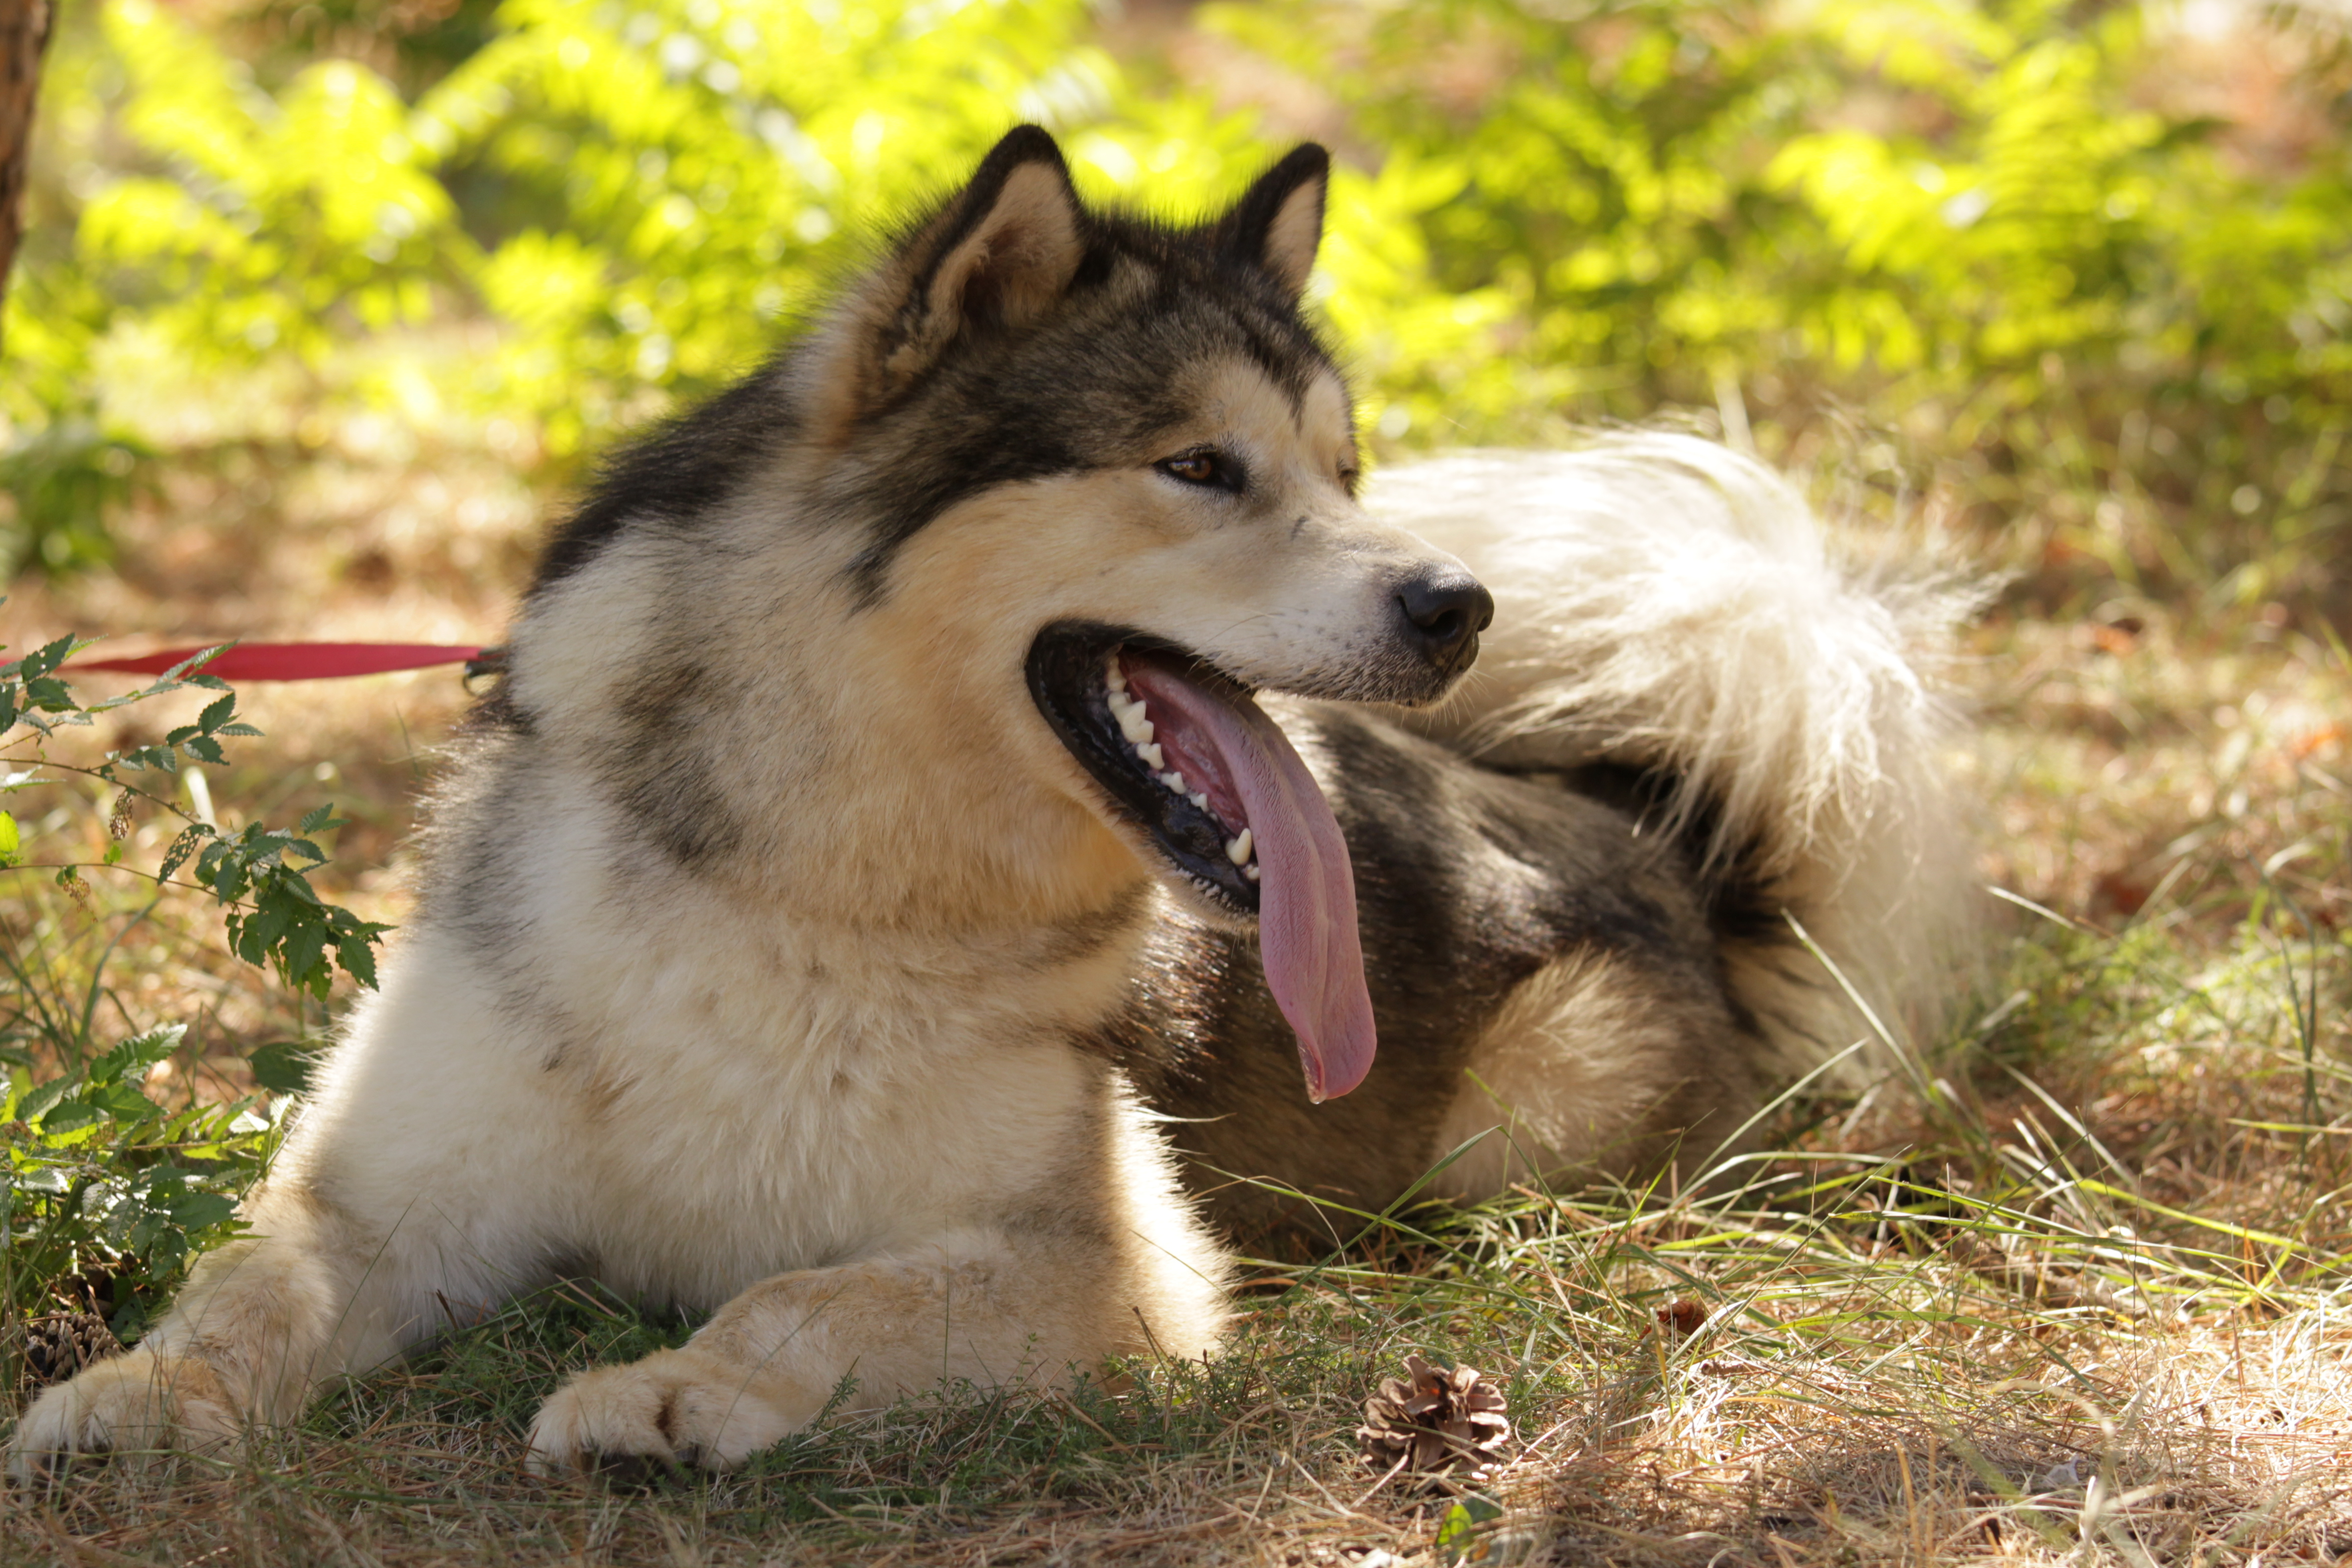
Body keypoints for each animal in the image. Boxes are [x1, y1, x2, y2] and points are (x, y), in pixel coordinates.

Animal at [13, 126, 1966, 1485]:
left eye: (1344, 472)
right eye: (1199, 466)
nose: (1457, 604)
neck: (807, 890)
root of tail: (1654, 837)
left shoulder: (1113, 1272)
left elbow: (811, 1291)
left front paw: (677, 1385)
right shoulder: (385, 1200)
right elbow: (253, 1284)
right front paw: (136, 1389)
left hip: (1521, 1117)